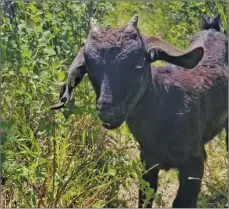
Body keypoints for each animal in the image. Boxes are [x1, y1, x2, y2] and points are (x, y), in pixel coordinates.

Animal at [51, 14, 227, 207]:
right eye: (89, 69)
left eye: (140, 64)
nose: (108, 112)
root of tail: (212, 27)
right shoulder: (148, 161)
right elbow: (145, 198)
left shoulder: (194, 162)